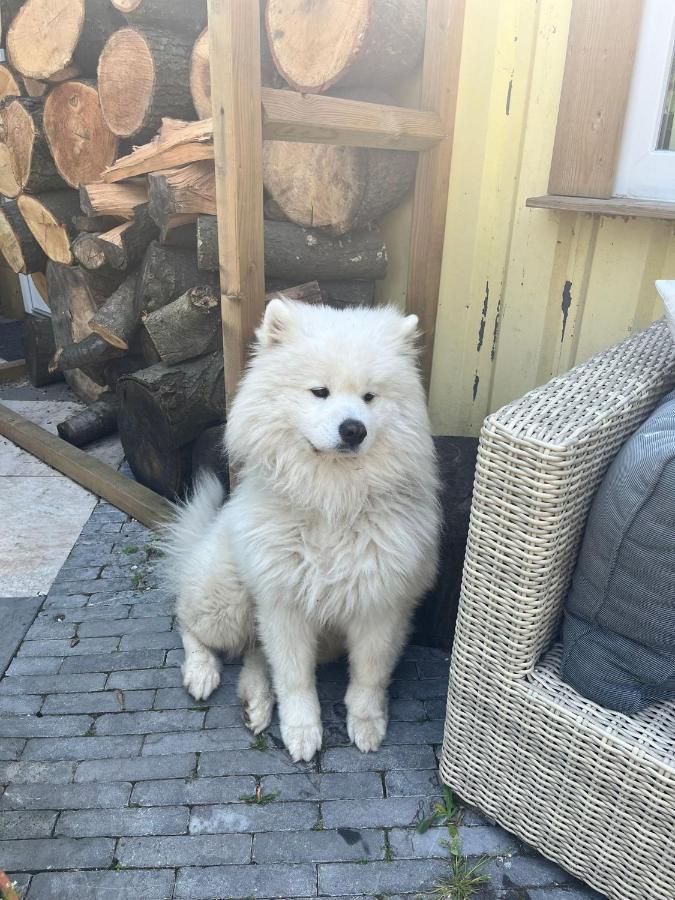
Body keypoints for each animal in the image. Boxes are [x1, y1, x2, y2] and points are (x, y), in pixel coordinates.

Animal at [165, 300, 444, 760]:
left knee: (255, 655)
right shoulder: (284, 604)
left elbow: (368, 676)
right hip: (227, 597)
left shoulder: (380, 606)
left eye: (370, 396)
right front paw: (301, 731)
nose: (354, 428)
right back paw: (203, 673)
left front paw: (366, 724)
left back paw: (255, 702)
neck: (333, 500)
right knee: (189, 623)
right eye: (319, 392)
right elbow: (295, 680)